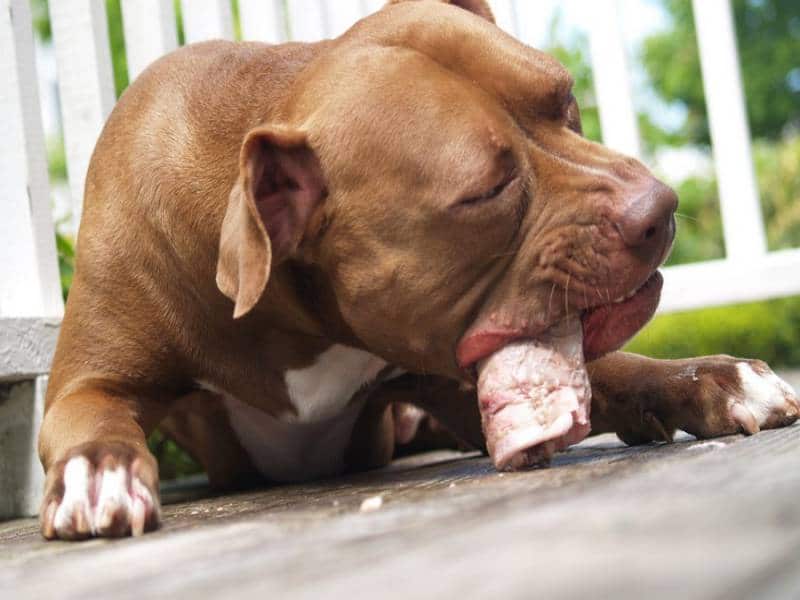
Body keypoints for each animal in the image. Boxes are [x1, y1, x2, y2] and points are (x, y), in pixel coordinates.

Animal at [39, 0, 800, 540]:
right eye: (488, 190)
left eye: (566, 101)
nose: (660, 208)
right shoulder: (87, 383)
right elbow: (90, 416)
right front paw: (98, 471)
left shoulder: (446, 378)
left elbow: (616, 369)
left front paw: (712, 378)